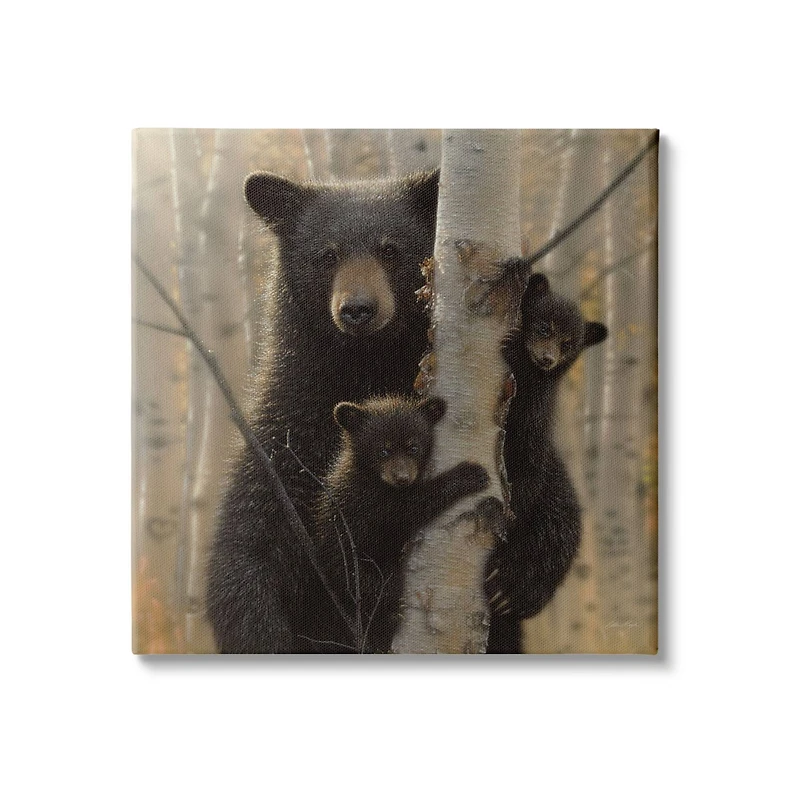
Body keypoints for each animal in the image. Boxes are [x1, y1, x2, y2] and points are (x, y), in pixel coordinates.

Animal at [206, 170, 439, 653]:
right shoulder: (287, 438)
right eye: (327, 255)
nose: (358, 309)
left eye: (391, 249)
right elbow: (245, 551)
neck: (365, 368)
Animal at [299, 395, 490, 653]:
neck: (374, 478)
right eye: (383, 450)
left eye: (413, 447)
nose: (402, 478)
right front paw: (469, 474)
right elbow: (407, 511)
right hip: (350, 570)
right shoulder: (367, 502)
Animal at [484, 272, 608, 653]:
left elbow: (527, 468)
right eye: (543, 327)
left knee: (550, 546)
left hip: (559, 514)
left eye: (569, 343)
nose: (547, 359)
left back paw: (508, 589)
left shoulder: (533, 422)